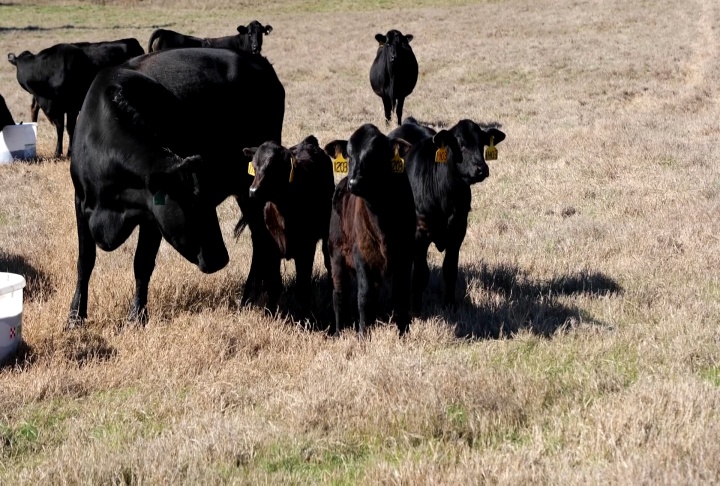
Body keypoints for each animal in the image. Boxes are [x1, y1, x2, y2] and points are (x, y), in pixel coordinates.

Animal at [68, 48, 285, 327]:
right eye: (190, 205)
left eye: (208, 203)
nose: (220, 258)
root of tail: (258, 61)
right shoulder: (81, 202)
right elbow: (85, 262)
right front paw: (75, 316)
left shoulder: (151, 217)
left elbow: (142, 263)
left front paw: (137, 316)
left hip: (253, 186)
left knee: (264, 239)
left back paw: (262, 301)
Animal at [242, 136, 335, 315]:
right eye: (254, 166)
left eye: (273, 167)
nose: (253, 191)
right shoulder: (270, 245)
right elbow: (274, 284)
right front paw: (269, 313)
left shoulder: (306, 247)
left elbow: (303, 286)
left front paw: (304, 317)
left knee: (329, 263)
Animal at [323, 124, 416, 336]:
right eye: (349, 155)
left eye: (375, 155)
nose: (354, 183)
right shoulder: (363, 256)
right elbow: (364, 297)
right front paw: (363, 334)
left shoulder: (405, 256)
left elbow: (402, 296)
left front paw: (403, 332)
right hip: (336, 255)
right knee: (339, 294)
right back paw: (339, 332)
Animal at [388, 117, 506, 313]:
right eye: (460, 143)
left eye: (481, 143)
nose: (481, 168)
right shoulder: (420, 233)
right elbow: (421, 273)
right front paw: (416, 309)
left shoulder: (458, 231)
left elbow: (450, 270)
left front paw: (450, 304)